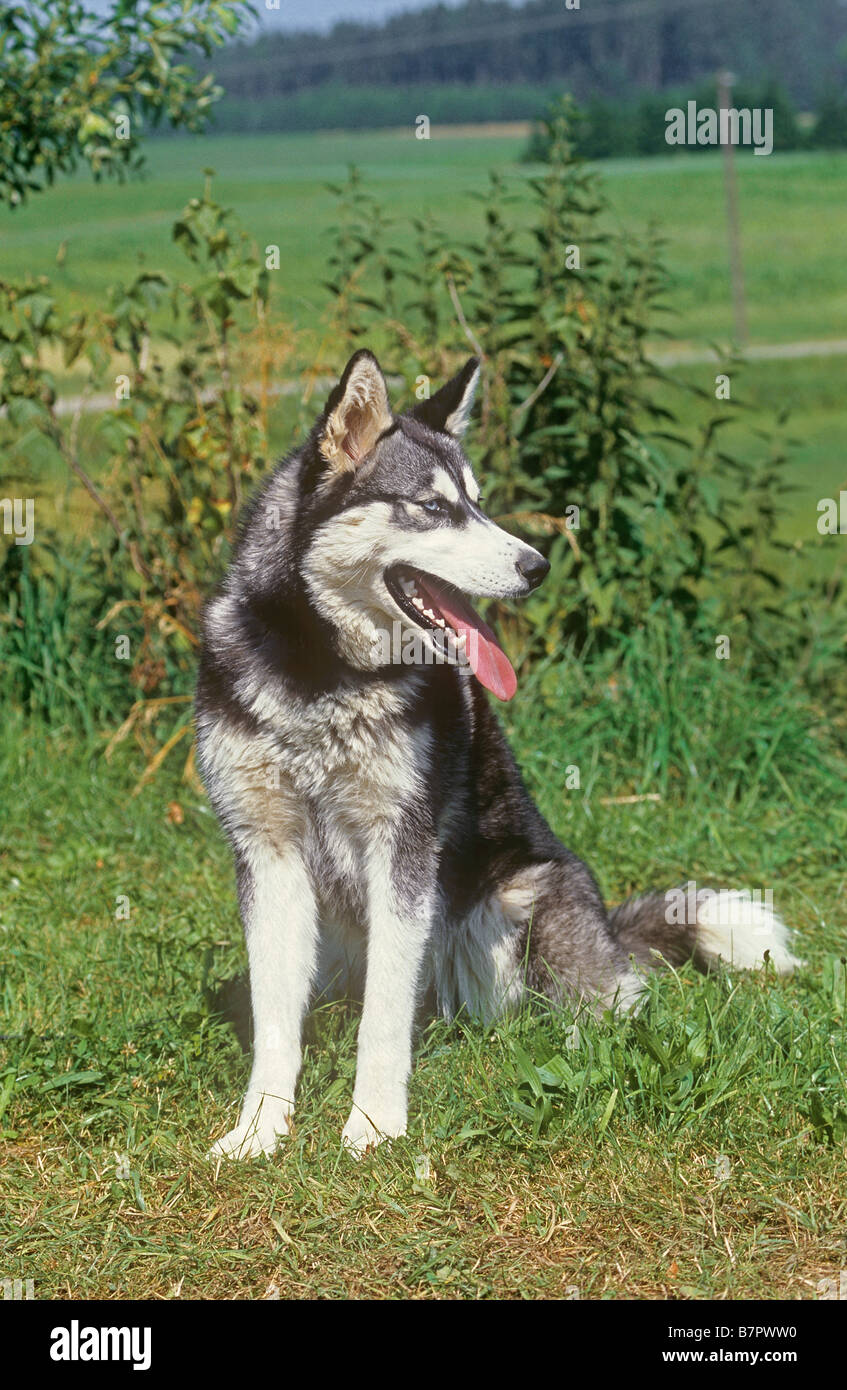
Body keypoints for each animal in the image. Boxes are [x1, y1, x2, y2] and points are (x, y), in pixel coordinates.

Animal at [194, 353, 795, 1156]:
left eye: (478, 504)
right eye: (433, 507)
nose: (538, 565)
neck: (322, 675)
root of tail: (608, 925)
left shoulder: (403, 848)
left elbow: (383, 1019)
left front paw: (374, 1124)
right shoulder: (267, 852)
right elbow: (274, 1021)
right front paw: (260, 1128)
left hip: (520, 901)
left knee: (607, 1004)